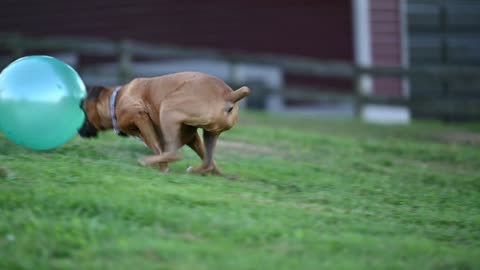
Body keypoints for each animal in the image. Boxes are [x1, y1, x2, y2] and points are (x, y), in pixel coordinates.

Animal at [77, 71, 249, 175]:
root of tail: (229, 94)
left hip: (168, 110)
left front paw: (163, 169)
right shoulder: (191, 136)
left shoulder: (141, 116)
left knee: (174, 154)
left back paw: (146, 161)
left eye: (82, 110)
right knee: (208, 161)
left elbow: (157, 148)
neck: (116, 100)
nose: (78, 130)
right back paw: (198, 170)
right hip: (210, 133)